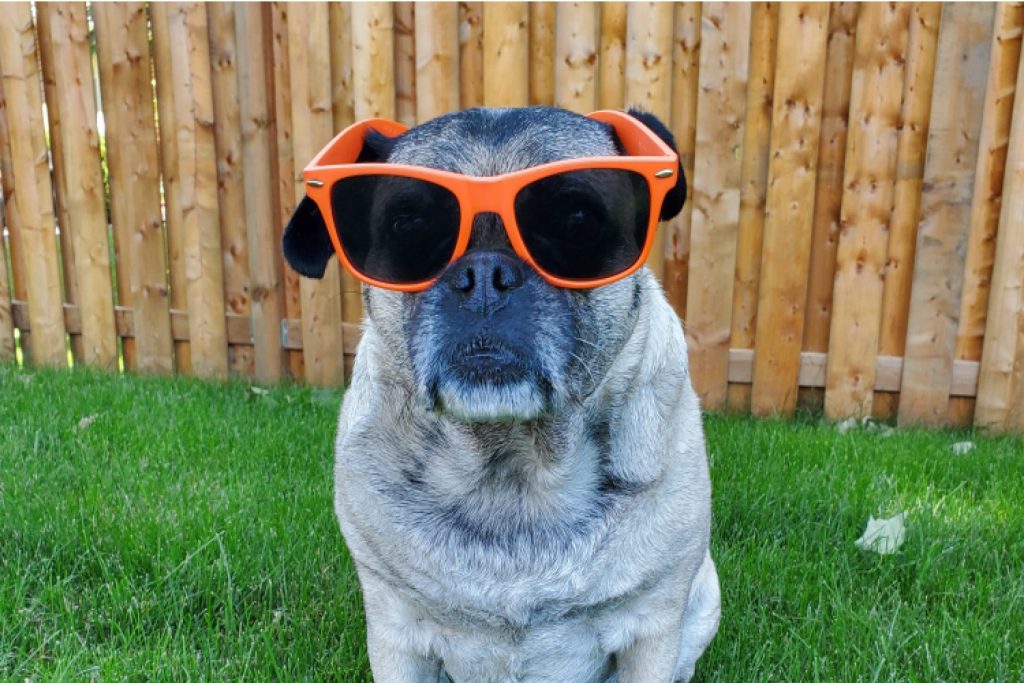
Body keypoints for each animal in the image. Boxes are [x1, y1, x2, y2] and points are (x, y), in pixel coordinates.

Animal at [276, 107, 716, 683]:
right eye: (408, 228)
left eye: (578, 223)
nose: (484, 272)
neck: (514, 469)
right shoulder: (397, 633)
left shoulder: (653, 630)